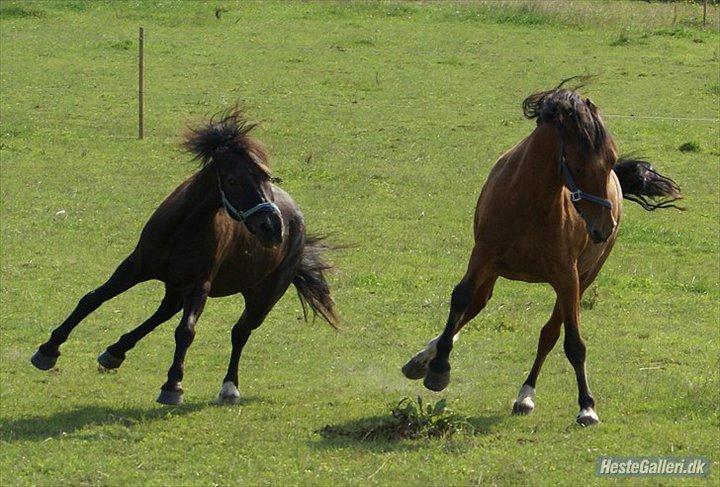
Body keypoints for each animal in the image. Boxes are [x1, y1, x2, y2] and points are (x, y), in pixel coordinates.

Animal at [31, 108, 340, 406]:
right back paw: (115, 352)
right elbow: (93, 298)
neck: (185, 227)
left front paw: (173, 386)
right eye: (232, 180)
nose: (273, 228)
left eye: (266, 176)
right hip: (175, 286)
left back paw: (229, 387)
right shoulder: (135, 266)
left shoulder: (199, 286)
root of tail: (298, 221)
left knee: (239, 332)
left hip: (262, 297)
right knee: (163, 313)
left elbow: (186, 332)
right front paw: (48, 350)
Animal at [402, 78, 684, 426]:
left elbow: (572, 342)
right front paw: (438, 368)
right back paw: (425, 358)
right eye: (578, 162)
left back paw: (525, 394)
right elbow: (461, 298)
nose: (605, 227)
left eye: (610, 158)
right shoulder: (483, 257)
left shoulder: (567, 278)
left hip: (585, 277)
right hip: (495, 271)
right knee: (477, 304)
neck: (529, 202)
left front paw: (587, 406)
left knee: (549, 333)